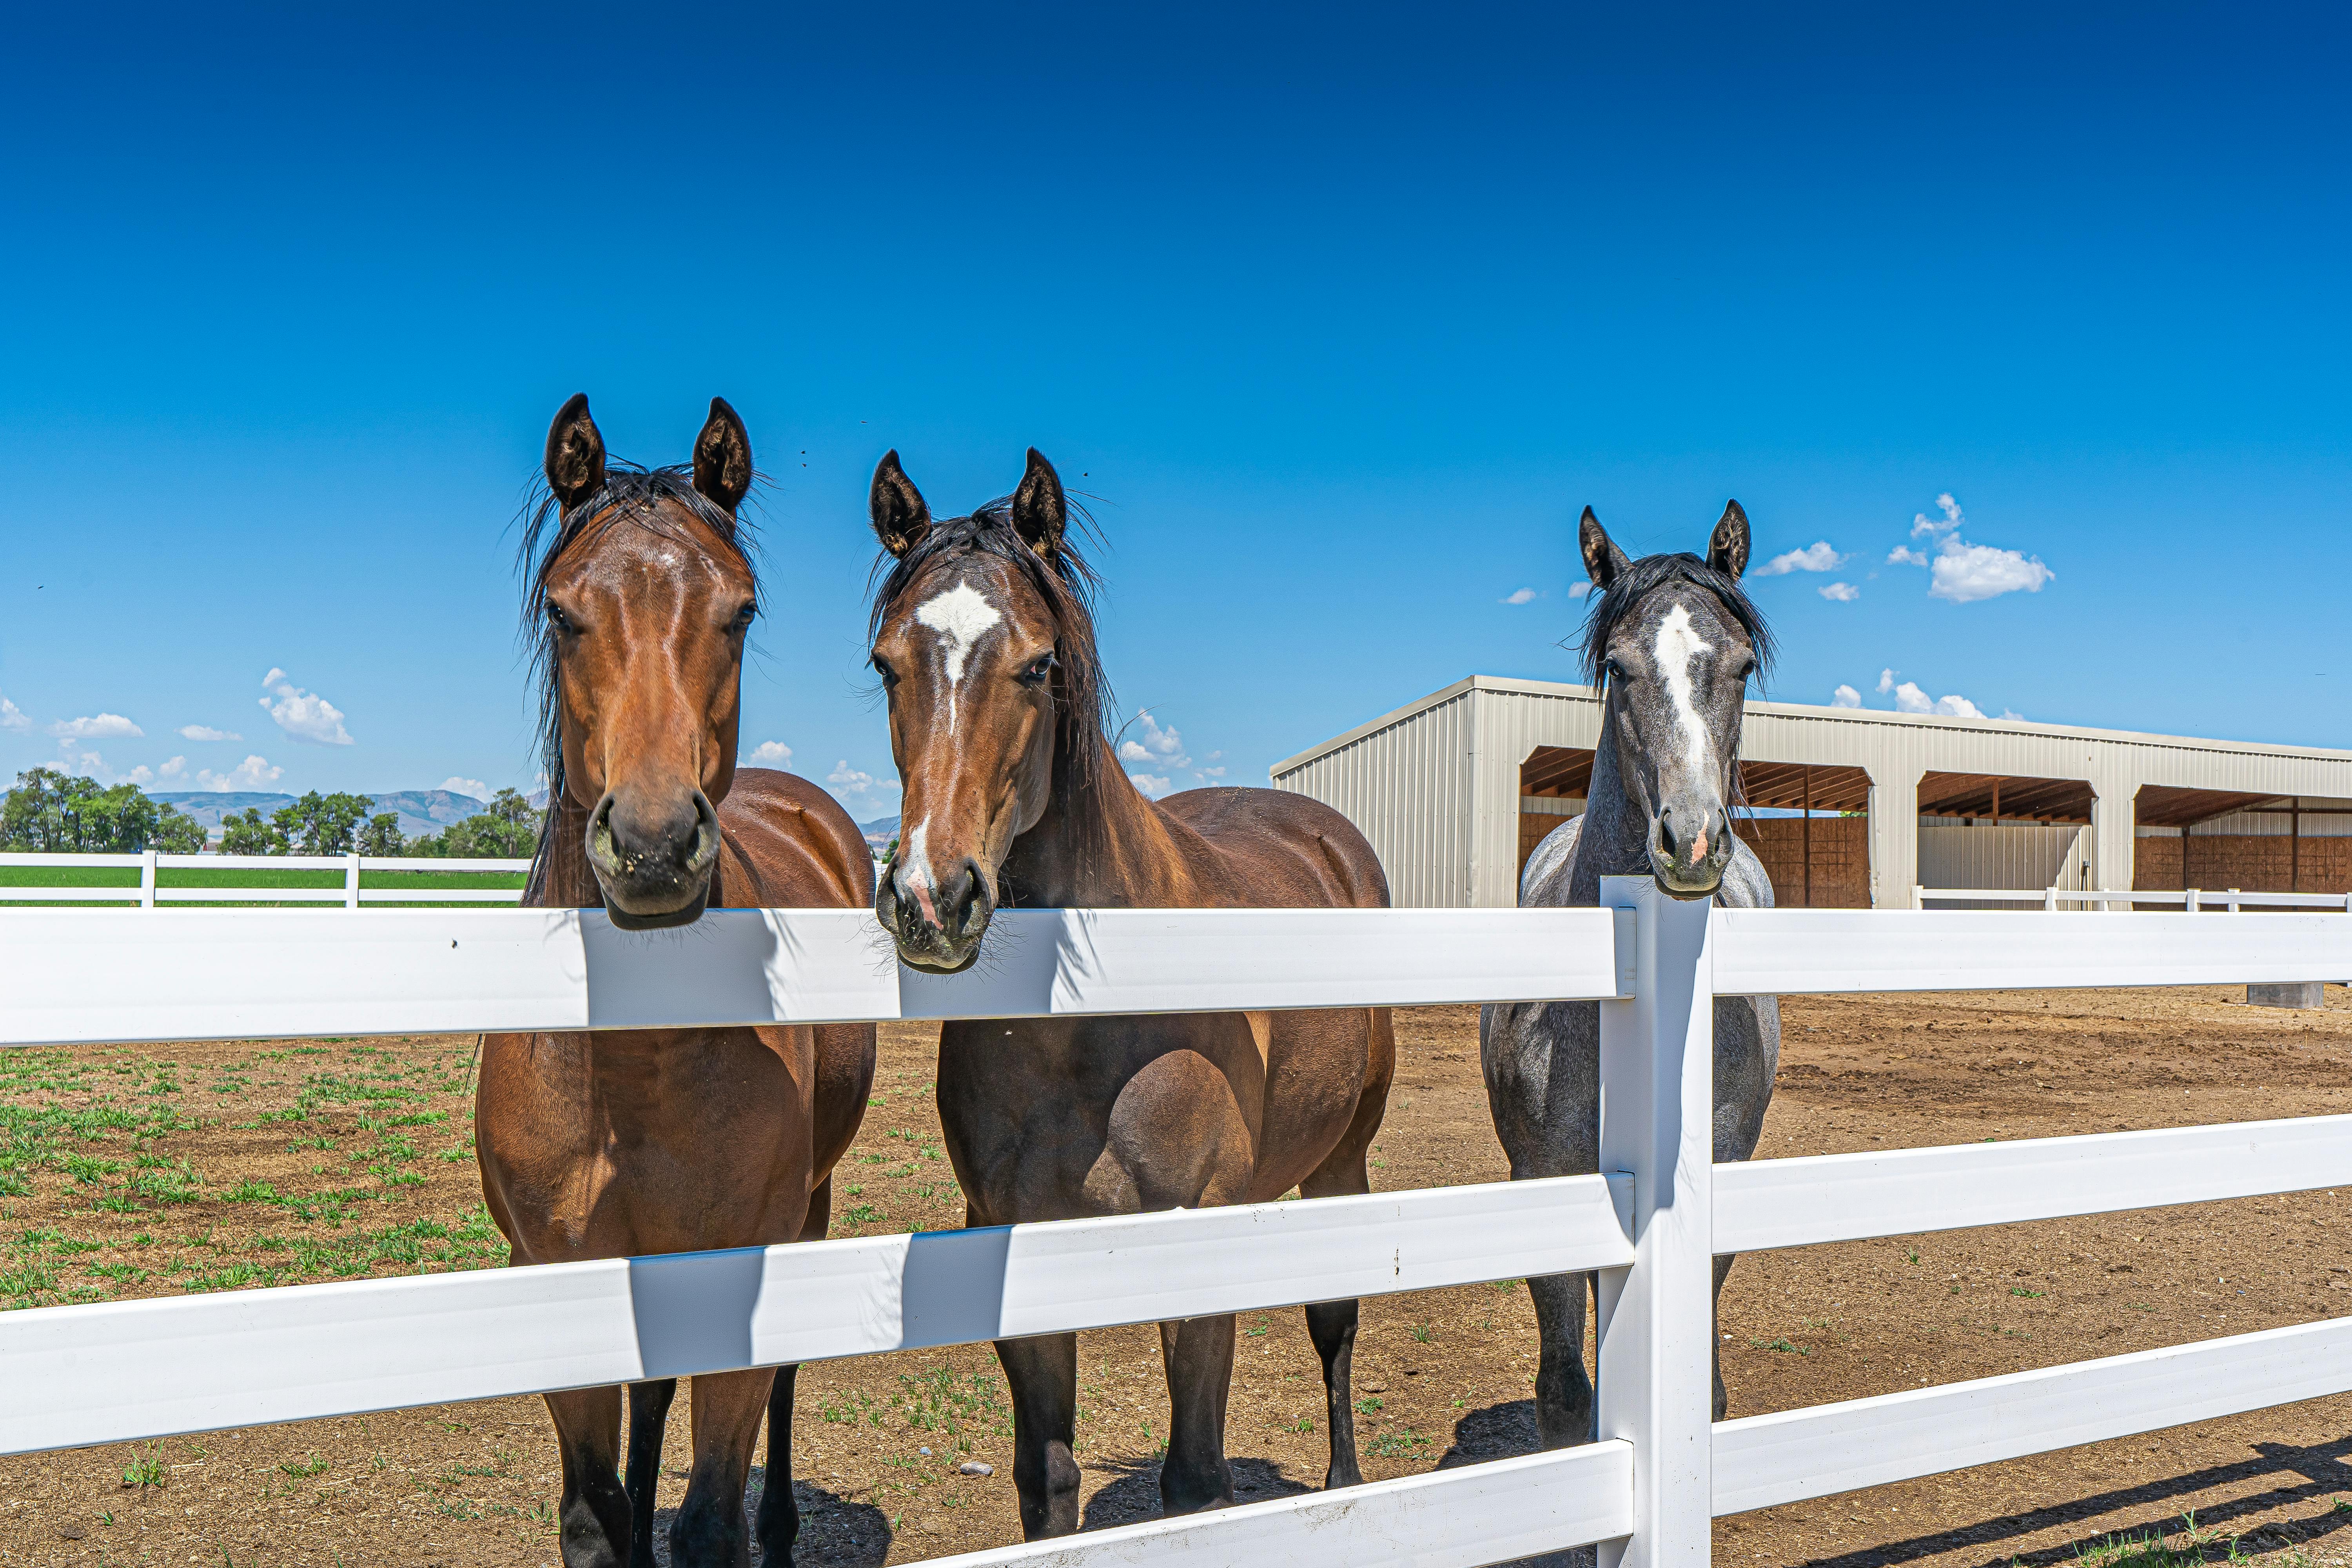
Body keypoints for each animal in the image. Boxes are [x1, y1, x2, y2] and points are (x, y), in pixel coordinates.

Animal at [475, 399, 875, 1568]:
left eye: (741, 610)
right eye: (562, 611)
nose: (653, 849)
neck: (635, 1066)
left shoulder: (743, 1265)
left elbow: (710, 1521)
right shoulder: (560, 1277)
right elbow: (595, 1515)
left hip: (809, 1208)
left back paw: (782, 1527)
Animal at [861, 446, 1383, 1542]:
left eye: (1038, 665)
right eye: (887, 663)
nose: (931, 897)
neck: (1089, 1032)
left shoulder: (1195, 1251)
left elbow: (1195, 1480)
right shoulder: (1018, 1247)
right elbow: (1045, 1478)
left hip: (1340, 1163)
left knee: (1334, 1325)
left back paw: (1348, 1483)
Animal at [1477, 503, 1788, 1448]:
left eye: (1742, 663)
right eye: (1618, 667)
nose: (1691, 838)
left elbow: (1705, 1390)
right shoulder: (1545, 1183)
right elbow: (1563, 1395)